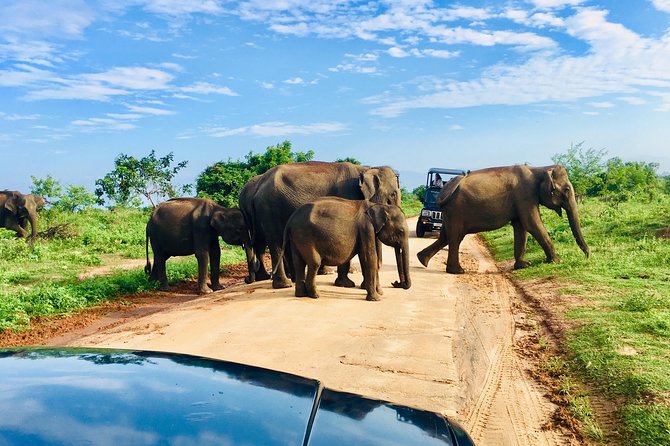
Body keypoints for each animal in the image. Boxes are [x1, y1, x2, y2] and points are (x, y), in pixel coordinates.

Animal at [243, 161, 401, 289]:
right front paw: (347, 284)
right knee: (275, 242)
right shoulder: (348, 196)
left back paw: (292, 280)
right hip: (270, 210)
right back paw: (284, 284)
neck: (365, 168)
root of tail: (258, 186)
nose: (395, 283)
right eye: (393, 195)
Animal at [279, 197, 411, 301]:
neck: (378, 205)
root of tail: (291, 219)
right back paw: (315, 295)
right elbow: (370, 258)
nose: (396, 283)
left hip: (296, 237)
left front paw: (380, 294)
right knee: (314, 262)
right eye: (401, 231)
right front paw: (377, 299)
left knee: (299, 263)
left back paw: (301, 295)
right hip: (305, 236)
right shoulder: (366, 228)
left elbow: (368, 259)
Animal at [416, 165, 590, 274]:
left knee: (445, 236)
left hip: (450, 212)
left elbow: (521, 227)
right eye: (566, 189)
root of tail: (445, 189)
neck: (540, 168)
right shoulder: (525, 196)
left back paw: (422, 260)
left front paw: (524, 265)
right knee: (455, 237)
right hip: (457, 211)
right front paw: (557, 261)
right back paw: (458, 271)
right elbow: (532, 224)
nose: (587, 256)